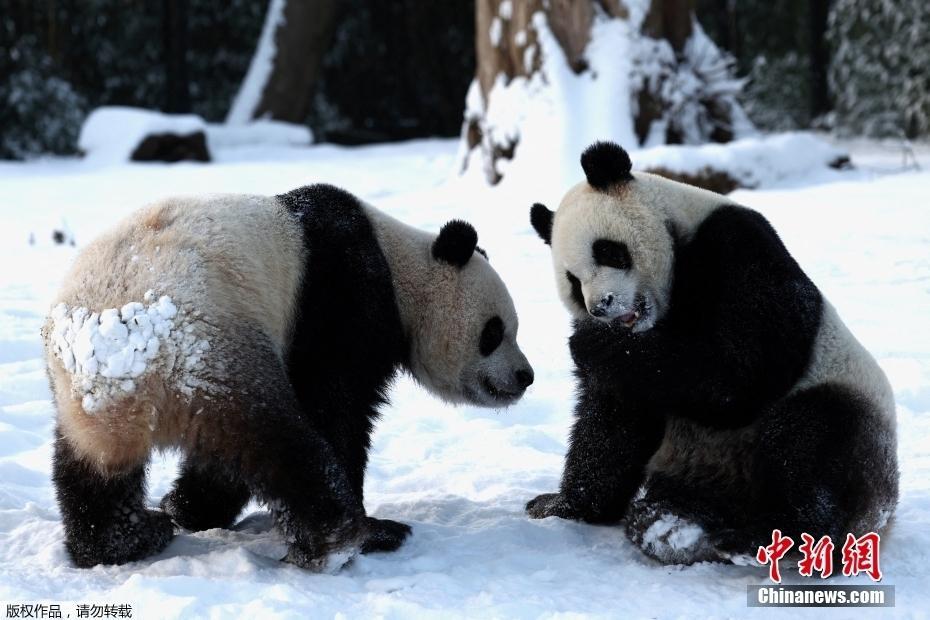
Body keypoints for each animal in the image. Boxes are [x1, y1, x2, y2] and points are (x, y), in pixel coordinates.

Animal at [43, 182, 532, 568]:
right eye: (494, 332)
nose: (524, 376)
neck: (401, 267)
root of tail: (122, 361)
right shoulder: (342, 296)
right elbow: (335, 407)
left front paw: (187, 510)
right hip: (210, 353)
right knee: (275, 440)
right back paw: (343, 538)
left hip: (76, 394)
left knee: (89, 472)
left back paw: (125, 539)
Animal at [524, 142, 896, 568]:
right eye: (573, 280)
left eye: (608, 252)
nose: (600, 307)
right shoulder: (633, 374)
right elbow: (612, 425)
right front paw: (561, 505)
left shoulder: (736, 245)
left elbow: (742, 370)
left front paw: (588, 342)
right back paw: (673, 522)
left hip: (850, 411)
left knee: (810, 441)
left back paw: (771, 535)